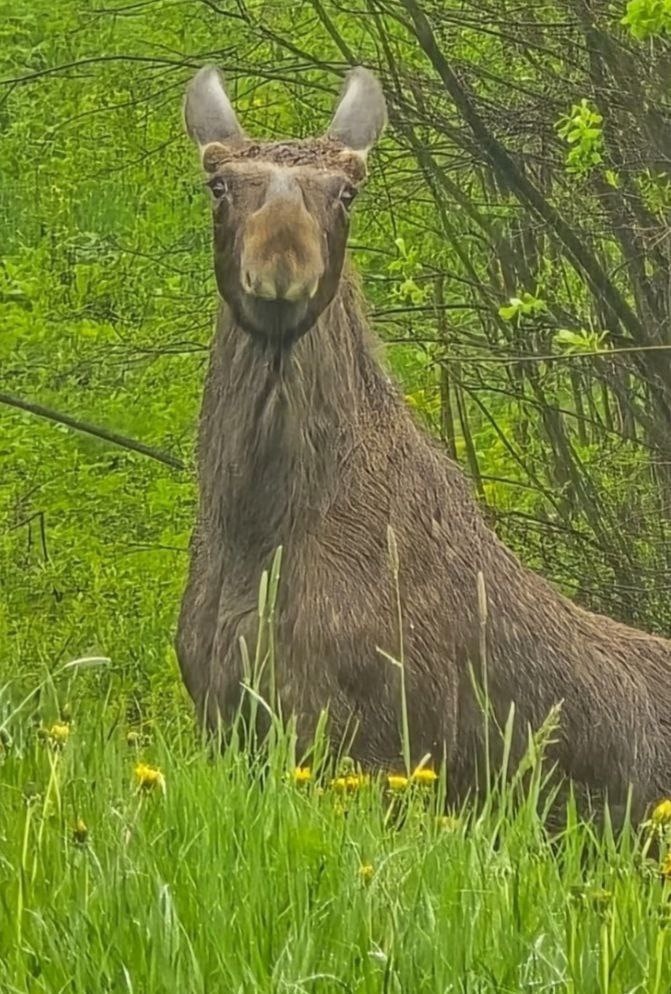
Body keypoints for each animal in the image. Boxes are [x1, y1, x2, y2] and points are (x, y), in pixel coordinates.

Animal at [176, 64, 671, 821]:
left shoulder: (379, 747)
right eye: (219, 183)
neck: (255, 532)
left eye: (347, 191)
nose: (282, 258)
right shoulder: (226, 719)